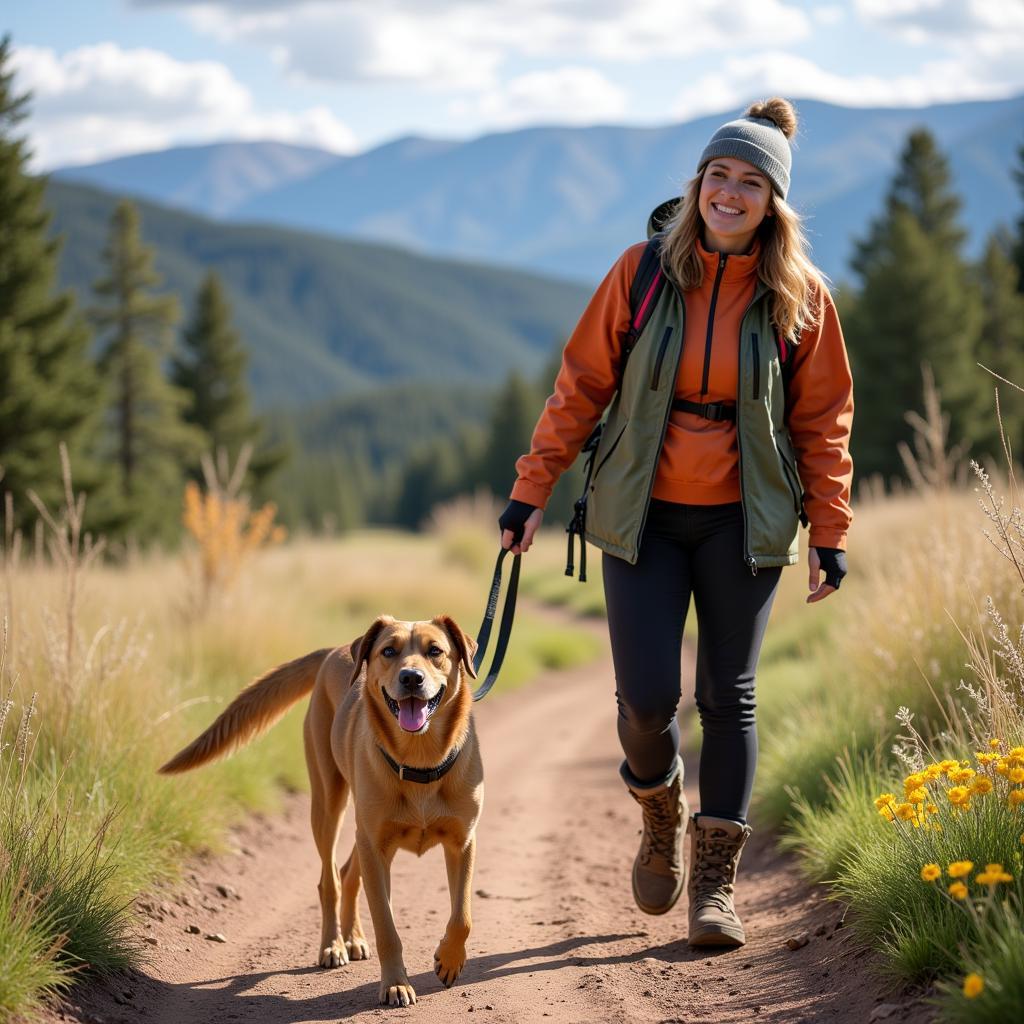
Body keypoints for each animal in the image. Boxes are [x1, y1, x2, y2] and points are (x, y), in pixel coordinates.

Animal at [156, 614, 483, 1007]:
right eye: (389, 651)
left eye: (435, 651)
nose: (410, 678)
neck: (420, 758)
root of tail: (336, 650)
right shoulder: (376, 845)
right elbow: (387, 927)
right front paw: (395, 984)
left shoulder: (462, 842)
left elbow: (463, 915)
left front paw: (449, 960)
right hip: (330, 807)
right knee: (330, 879)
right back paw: (333, 946)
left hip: (365, 830)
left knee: (347, 873)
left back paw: (354, 938)